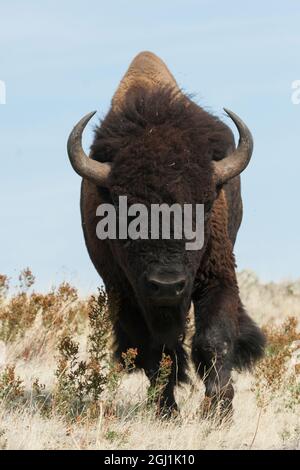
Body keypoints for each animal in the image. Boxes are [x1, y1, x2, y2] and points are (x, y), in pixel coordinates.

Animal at [67, 51, 264, 416]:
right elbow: (154, 353)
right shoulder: (126, 293)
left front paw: (218, 410)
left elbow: (213, 339)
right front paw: (166, 411)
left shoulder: (217, 275)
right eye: (127, 212)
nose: (167, 284)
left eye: (203, 206)